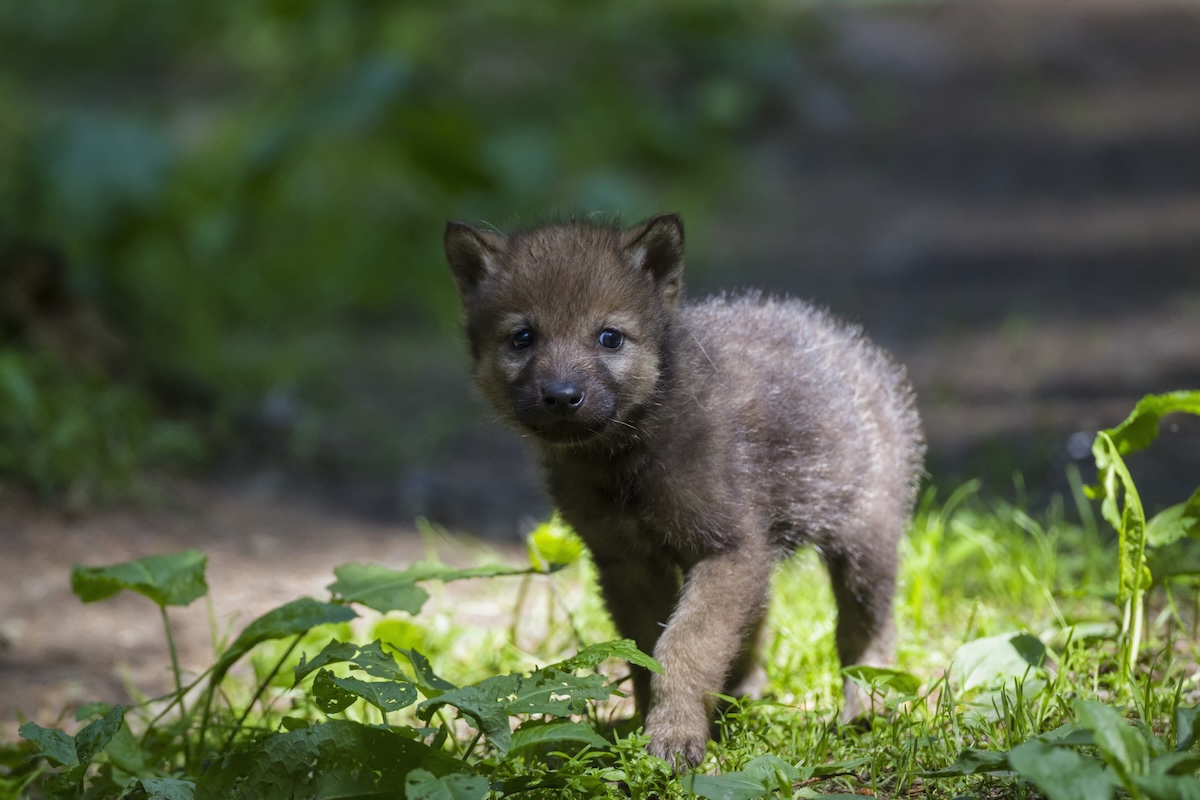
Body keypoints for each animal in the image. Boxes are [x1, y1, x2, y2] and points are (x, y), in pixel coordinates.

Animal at [443, 213, 925, 769]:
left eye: (609, 338)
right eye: (523, 337)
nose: (562, 396)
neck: (626, 457)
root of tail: (849, 345)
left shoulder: (726, 549)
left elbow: (684, 645)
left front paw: (673, 737)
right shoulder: (627, 561)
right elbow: (645, 650)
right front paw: (645, 727)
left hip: (865, 541)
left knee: (865, 631)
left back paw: (867, 710)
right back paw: (742, 700)